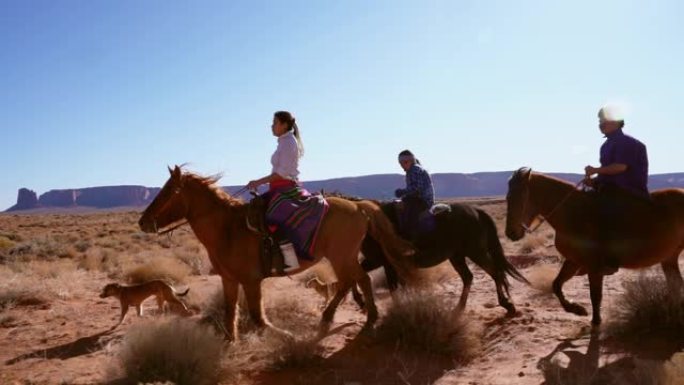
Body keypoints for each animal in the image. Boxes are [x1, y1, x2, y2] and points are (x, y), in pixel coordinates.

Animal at [139, 165, 412, 340]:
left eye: (167, 192)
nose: (143, 221)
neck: (227, 229)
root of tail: (358, 206)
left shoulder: (251, 281)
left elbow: (258, 317)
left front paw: (287, 336)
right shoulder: (229, 279)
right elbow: (230, 313)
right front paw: (230, 342)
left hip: (341, 256)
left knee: (359, 280)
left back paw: (366, 319)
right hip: (343, 257)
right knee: (350, 281)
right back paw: (333, 317)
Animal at [350, 198, 532, 316]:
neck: (370, 221)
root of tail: (476, 211)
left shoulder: (386, 263)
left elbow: (392, 288)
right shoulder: (377, 261)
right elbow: (356, 276)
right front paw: (361, 301)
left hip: (476, 252)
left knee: (495, 272)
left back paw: (507, 305)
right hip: (457, 256)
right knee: (469, 277)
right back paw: (459, 308)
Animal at [502, 167, 684, 324]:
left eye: (519, 197)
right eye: (508, 198)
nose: (511, 233)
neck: (573, 213)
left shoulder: (594, 266)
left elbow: (595, 295)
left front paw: (595, 321)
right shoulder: (574, 261)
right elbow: (556, 285)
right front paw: (576, 309)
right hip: (669, 257)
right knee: (676, 284)